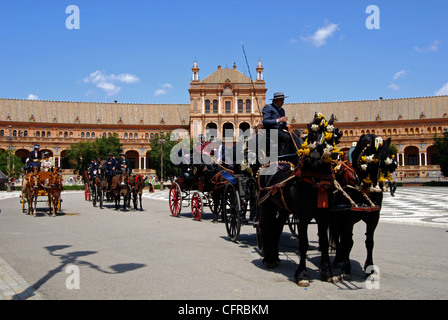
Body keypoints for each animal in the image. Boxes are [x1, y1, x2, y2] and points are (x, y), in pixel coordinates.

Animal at [330, 134, 398, 278]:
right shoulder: (347, 218)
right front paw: (346, 269)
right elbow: (348, 241)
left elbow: (369, 242)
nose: (377, 188)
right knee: (339, 236)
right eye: (375, 158)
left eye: (389, 155)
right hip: (334, 216)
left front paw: (369, 267)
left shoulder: (374, 217)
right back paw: (339, 259)